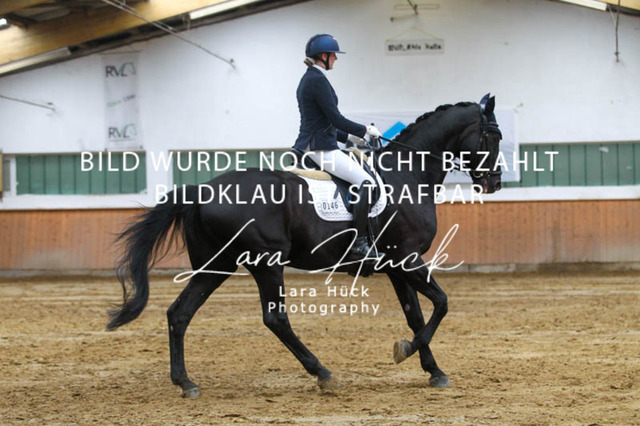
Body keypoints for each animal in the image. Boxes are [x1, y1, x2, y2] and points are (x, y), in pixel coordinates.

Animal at [107, 94, 503, 398]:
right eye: (492, 136)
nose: (494, 183)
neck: (407, 175)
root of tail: (202, 189)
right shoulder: (406, 257)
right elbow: (441, 303)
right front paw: (406, 350)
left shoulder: (396, 266)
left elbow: (415, 314)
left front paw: (432, 369)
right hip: (266, 262)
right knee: (275, 318)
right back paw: (323, 373)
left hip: (217, 265)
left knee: (180, 313)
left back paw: (185, 382)